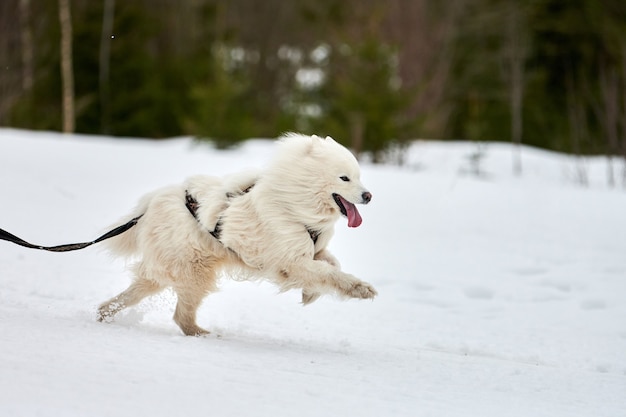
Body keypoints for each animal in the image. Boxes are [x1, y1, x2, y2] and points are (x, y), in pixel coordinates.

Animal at [97, 133, 376, 334]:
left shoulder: (313, 250)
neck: (293, 203)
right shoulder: (290, 261)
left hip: (169, 271)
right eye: (344, 178)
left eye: (359, 177)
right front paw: (361, 289)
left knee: (131, 296)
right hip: (195, 272)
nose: (368, 196)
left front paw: (310, 294)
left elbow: (331, 263)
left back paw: (104, 313)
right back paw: (202, 334)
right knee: (180, 316)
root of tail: (152, 203)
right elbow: (328, 272)